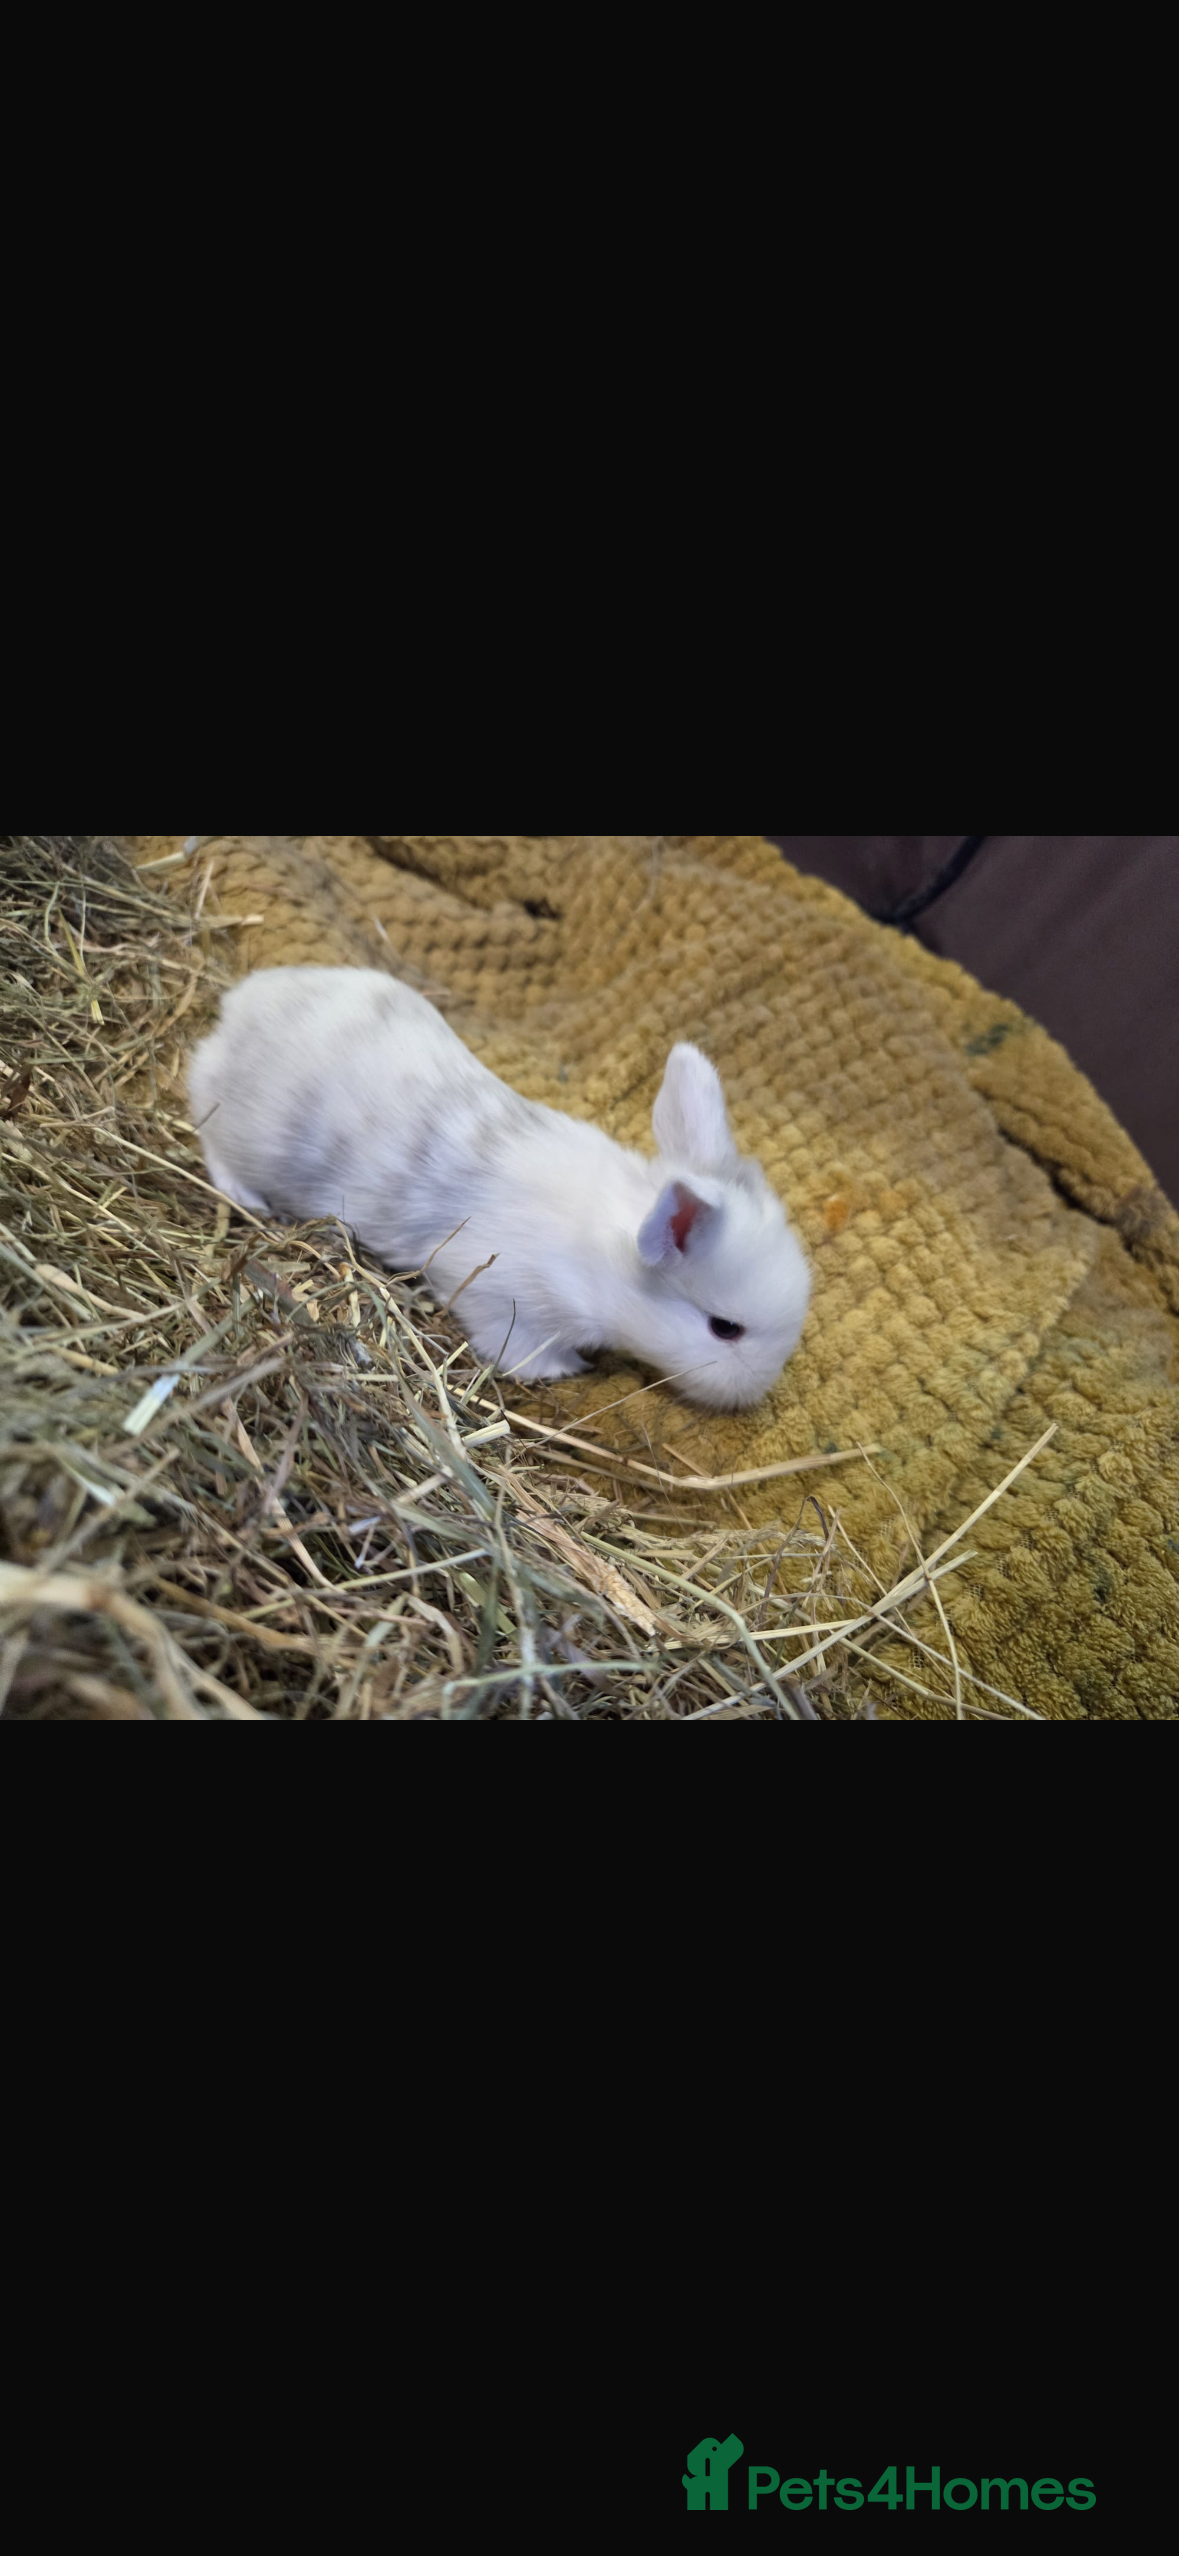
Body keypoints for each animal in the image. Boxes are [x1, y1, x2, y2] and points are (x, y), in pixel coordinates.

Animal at [187, 966, 812, 1409]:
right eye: (724, 1329)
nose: (758, 1391)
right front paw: (566, 1368)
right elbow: (515, 1347)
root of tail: (238, 1007)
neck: (606, 1261)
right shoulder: (502, 1299)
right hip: (242, 1130)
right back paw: (248, 1198)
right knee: (208, 1129)